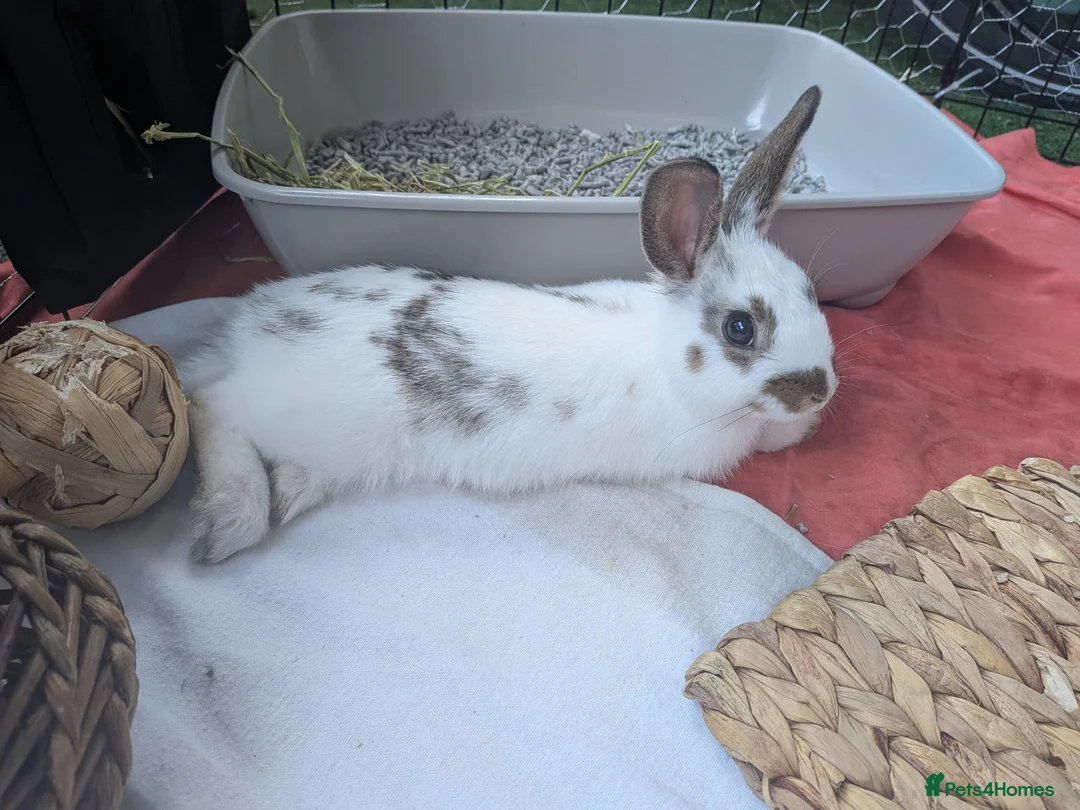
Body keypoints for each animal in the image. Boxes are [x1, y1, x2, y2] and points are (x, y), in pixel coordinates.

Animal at [186, 85, 836, 563]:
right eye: (739, 329)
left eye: (810, 292)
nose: (821, 391)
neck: (667, 358)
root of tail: (243, 333)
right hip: (290, 413)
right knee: (209, 404)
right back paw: (231, 519)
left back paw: (284, 496)